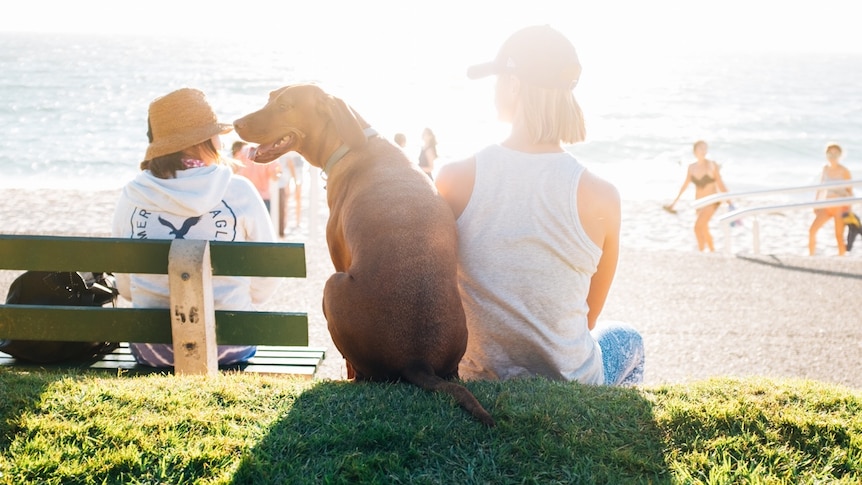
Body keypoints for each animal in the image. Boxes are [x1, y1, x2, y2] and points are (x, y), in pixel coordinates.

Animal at [233, 85, 496, 426]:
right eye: (269, 99)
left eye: (284, 106)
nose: (235, 123)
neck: (351, 142)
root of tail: (417, 360)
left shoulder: (338, 256)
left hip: (332, 286)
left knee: (359, 371)